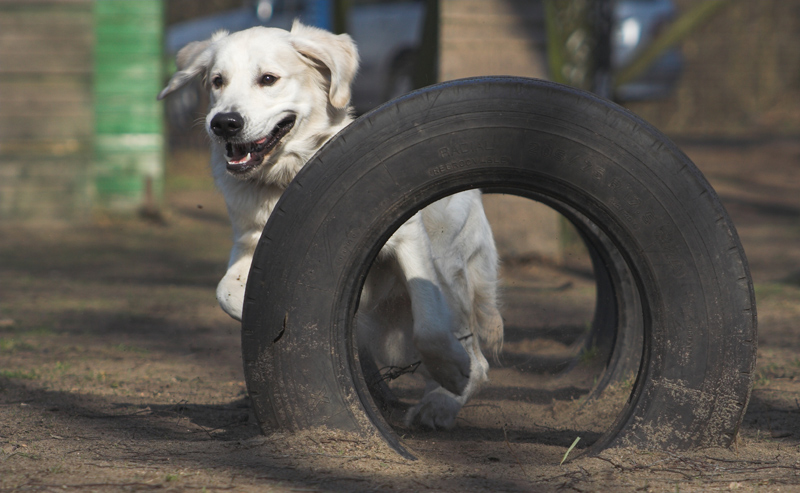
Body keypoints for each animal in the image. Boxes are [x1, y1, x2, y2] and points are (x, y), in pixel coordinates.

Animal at [159, 22, 504, 430]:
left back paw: (441, 402)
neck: (285, 179)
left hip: (451, 269)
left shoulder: (409, 240)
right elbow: (226, 293)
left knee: (477, 361)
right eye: (217, 81)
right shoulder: (249, 245)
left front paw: (450, 369)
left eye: (268, 79)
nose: (223, 123)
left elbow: (430, 326)